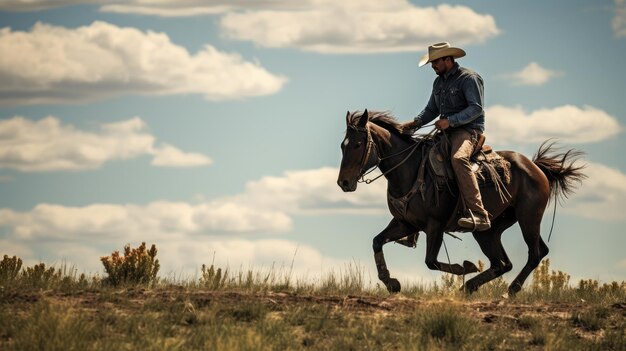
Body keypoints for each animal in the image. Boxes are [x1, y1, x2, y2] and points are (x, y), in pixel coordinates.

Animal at [334, 109, 584, 294]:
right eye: (342, 145)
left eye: (357, 144)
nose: (343, 182)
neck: (410, 170)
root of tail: (535, 168)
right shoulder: (404, 223)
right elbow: (377, 242)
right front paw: (391, 282)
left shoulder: (435, 225)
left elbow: (431, 261)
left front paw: (465, 266)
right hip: (488, 230)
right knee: (502, 263)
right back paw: (469, 288)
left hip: (529, 218)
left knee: (535, 252)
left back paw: (509, 290)